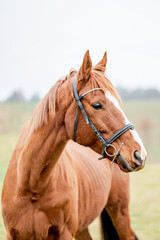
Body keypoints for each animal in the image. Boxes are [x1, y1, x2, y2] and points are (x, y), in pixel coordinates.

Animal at [1, 50, 146, 238]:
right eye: (97, 105)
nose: (139, 154)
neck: (31, 185)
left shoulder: (64, 233)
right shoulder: (12, 234)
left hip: (119, 211)